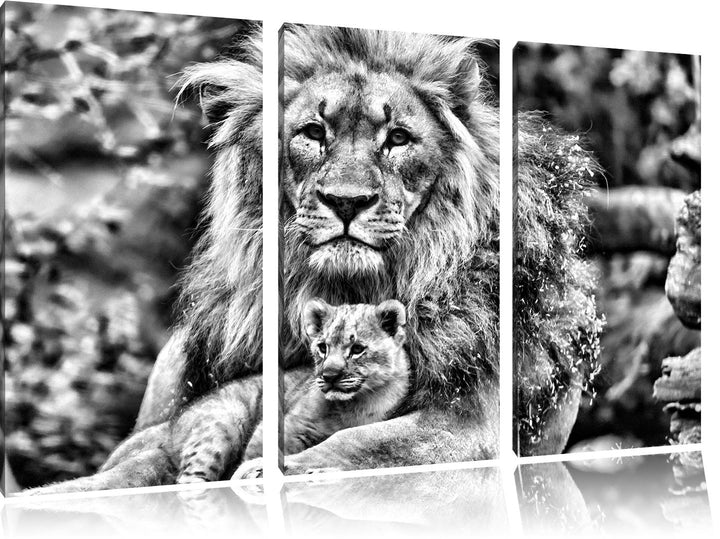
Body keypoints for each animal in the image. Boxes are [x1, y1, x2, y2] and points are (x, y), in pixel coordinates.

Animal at [26, 24, 600, 494]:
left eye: (398, 138)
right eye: (313, 132)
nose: (346, 202)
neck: (345, 287)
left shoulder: (472, 426)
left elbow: (357, 443)